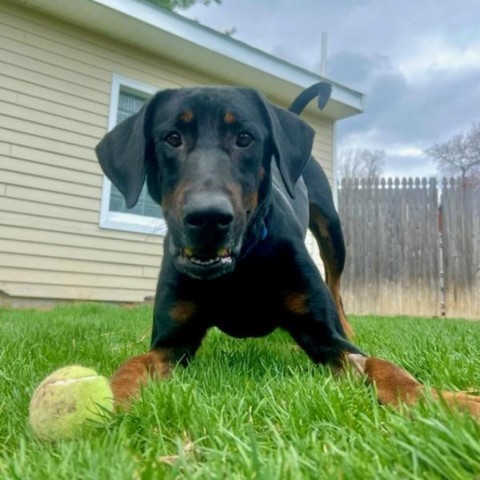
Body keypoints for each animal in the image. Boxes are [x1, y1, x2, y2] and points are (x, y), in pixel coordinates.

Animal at [96, 83, 480, 416]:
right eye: (172, 138)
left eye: (245, 138)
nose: (208, 217)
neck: (241, 265)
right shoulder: (171, 342)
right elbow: (132, 365)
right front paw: (110, 400)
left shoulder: (326, 338)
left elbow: (381, 365)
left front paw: (447, 402)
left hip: (332, 231)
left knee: (336, 286)